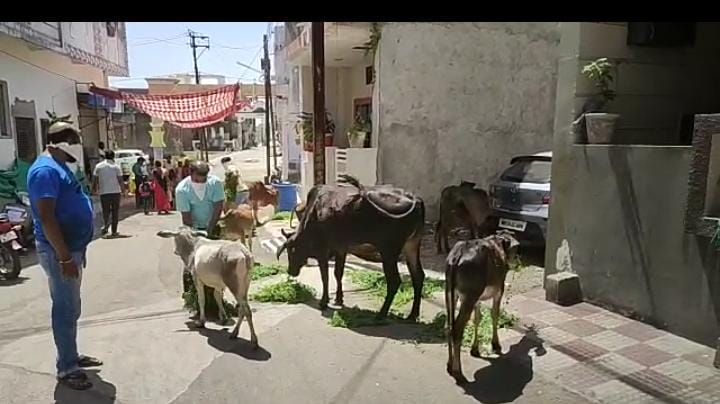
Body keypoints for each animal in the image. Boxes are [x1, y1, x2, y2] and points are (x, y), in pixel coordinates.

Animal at [277, 174, 426, 319]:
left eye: (292, 251)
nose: (290, 271)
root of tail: (415, 199)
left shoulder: (323, 251)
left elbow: (325, 277)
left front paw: (324, 302)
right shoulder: (341, 249)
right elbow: (338, 273)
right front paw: (338, 299)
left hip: (389, 251)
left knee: (395, 281)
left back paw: (381, 314)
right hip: (412, 246)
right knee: (418, 276)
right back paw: (412, 315)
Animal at [445, 230, 520, 384]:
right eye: (516, 248)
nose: (516, 261)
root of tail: (455, 258)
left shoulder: (478, 298)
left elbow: (477, 318)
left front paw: (475, 349)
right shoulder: (499, 289)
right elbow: (494, 314)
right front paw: (496, 345)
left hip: (450, 291)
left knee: (448, 325)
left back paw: (449, 365)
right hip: (470, 293)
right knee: (457, 328)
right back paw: (458, 371)